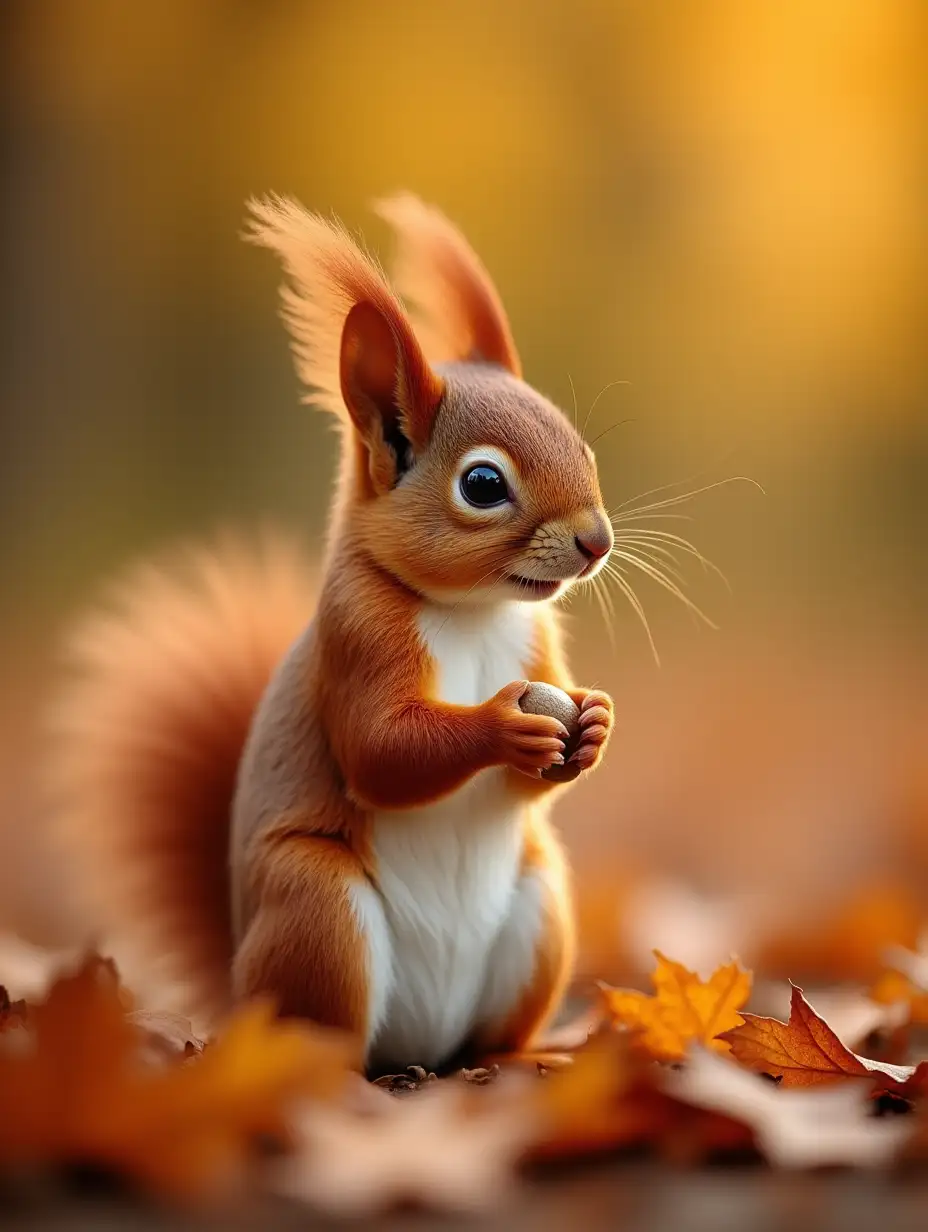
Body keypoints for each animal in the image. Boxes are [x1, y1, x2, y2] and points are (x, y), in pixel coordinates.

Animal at [52, 194, 616, 1079]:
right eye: (483, 484)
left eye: (581, 445)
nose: (597, 541)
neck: (471, 613)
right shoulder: (357, 636)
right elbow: (382, 750)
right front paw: (503, 725)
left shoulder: (536, 644)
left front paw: (590, 725)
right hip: (317, 910)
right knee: (324, 1030)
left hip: (541, 906)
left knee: (489, 1034)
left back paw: (528, 1060)